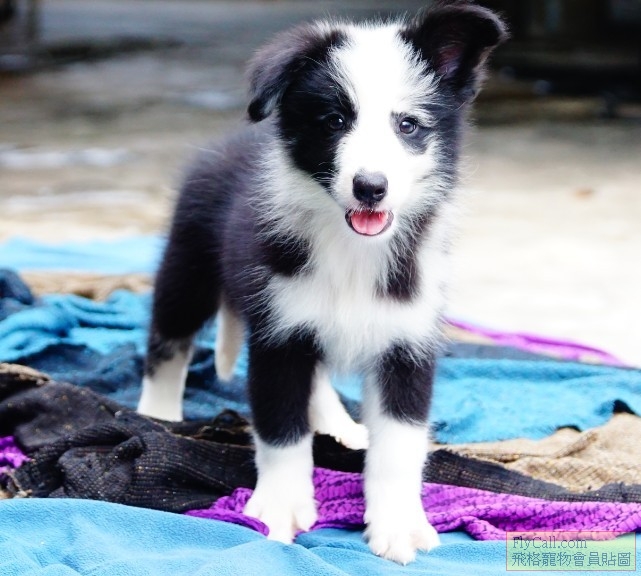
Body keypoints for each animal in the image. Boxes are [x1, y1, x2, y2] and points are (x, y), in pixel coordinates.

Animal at [137, 0, 506, 564]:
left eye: (408, 126)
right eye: (335, 121)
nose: (371, 187)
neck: (353, 249)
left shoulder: (407, 342)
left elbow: (400, 443)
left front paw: (398, 522)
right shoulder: (279, 336)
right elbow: (281, 428)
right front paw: (281, 507)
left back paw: (338, 426)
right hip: (188, 264)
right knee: (168, 342)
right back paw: (157, 417)